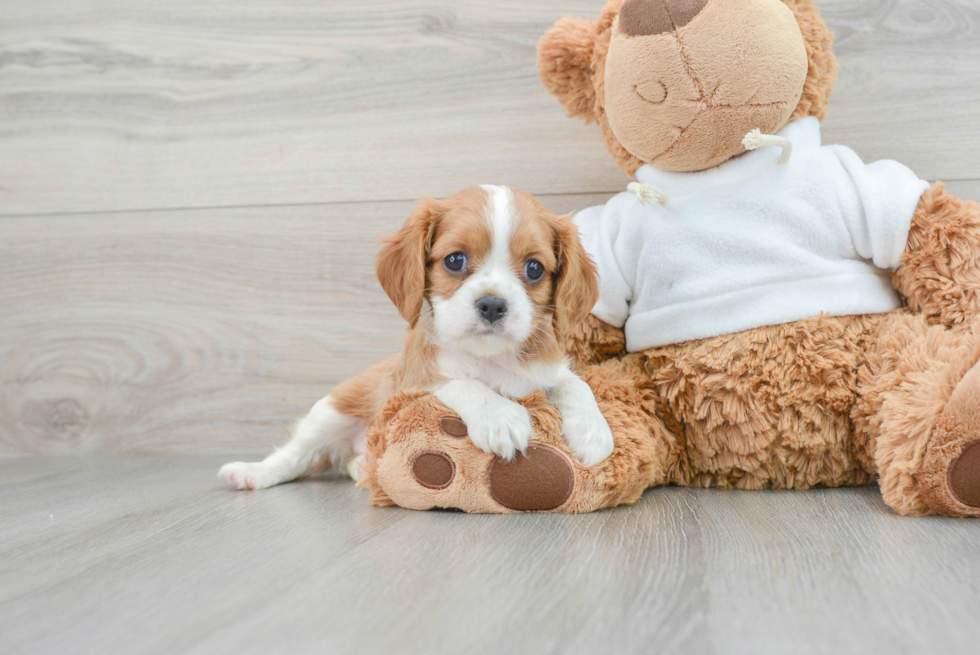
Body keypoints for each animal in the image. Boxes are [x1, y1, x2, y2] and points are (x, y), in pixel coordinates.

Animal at [224, 184, 612, 492]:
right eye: (455, 260)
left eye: (534, 268)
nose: (492, 305)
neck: (489, 357)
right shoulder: (413, 384)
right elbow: (461, 383)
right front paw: (500, 417)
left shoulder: (547, 372)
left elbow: (576, 384)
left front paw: (594, 430)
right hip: (331, 410)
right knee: (295, 454)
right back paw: (251, 473)